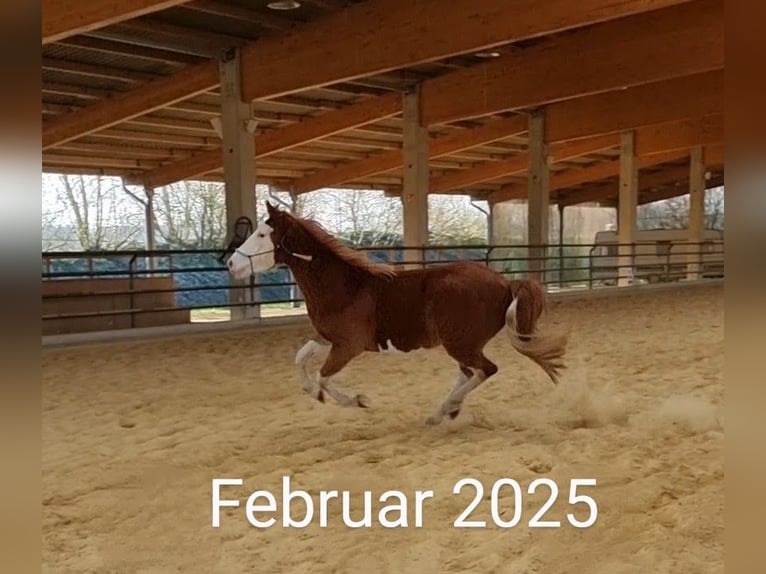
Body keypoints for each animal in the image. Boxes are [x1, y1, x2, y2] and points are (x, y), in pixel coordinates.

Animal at [226, 201, 568, 425]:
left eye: (261, 234)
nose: (231, 263)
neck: (345, 287)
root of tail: (505, 282)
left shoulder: (348, 346)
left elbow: (324, 376)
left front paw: (356, 400)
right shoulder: (326, 338)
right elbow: (301, 359)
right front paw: (312, 392)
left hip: (460, 343)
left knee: (485, 370)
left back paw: (445, 409)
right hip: (462, 343)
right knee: (470, 373)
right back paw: (444, 411)